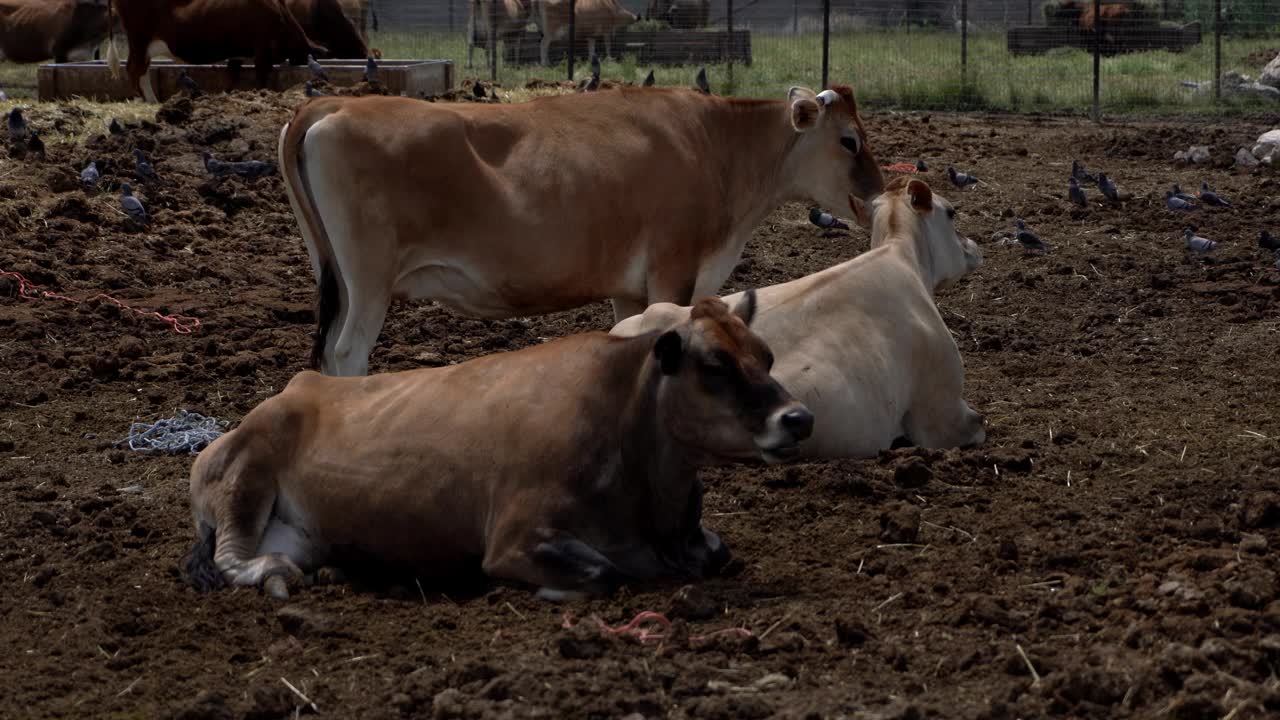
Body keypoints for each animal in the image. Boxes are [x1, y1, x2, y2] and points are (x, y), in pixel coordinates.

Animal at [185, 294, 814, 597]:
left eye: (766, 355)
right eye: (714, 365)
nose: (799, 418)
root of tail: (298, 387)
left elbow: (715, 552)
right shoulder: (516, 537)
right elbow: (605, 572)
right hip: (246, 476)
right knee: (232, 555)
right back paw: (274, 573)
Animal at [276, 83, 885, 371]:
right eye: (849, 140)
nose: (879, 195)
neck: (715, 146)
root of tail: (332, 105)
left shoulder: (629, 287)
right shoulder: (674, 269)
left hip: (335, 276)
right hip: (369, 281)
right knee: (347, 353)